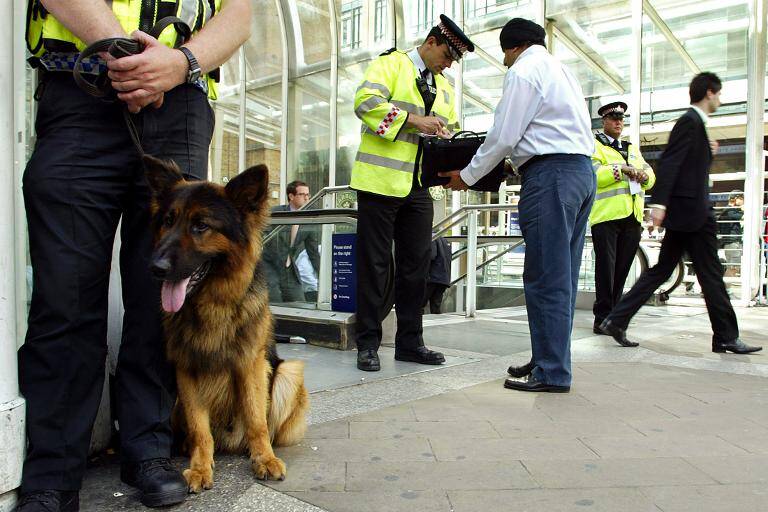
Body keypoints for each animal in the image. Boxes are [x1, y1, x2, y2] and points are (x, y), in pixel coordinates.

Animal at [142, 154, 308, 490]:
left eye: (201, 226)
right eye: (167, 221)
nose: (155, 268)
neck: (211, 307)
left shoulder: (250, 364)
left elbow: (256, 419)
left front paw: (264, 458)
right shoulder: (185, 369)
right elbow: (199, 427)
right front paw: (200, 467)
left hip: (289, 373)